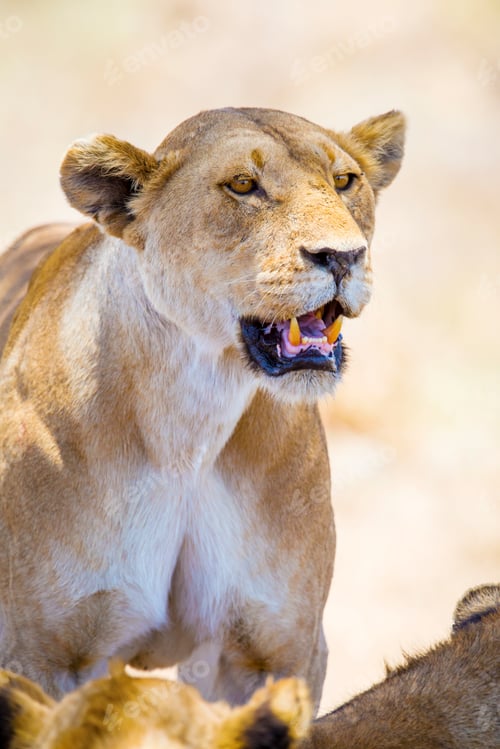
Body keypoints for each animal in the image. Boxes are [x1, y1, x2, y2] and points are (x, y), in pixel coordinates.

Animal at [0, 107, 405, 706]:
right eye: (242, 185)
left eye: (344, 180)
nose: (343, 257)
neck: (191, 422)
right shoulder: (44, 658)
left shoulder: (276, 652)